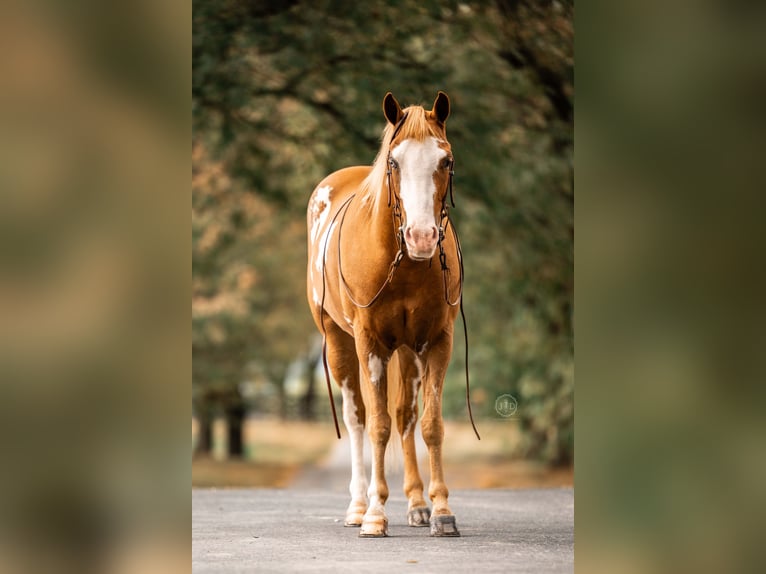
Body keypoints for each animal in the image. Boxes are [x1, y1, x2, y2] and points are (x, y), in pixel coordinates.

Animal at [306, 91, 475, 538]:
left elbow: (429, 424)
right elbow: (377, 425)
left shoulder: (436, 342)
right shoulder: (370, 344)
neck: (404, 265)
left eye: (446, 160)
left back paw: (416, 503)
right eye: (394, 162)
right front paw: (375, 515)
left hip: (409, 352)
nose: (422, 237)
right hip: (339, 343)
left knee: (406, 417)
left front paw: (441, 509)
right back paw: (357, 505)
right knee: (358, 419)